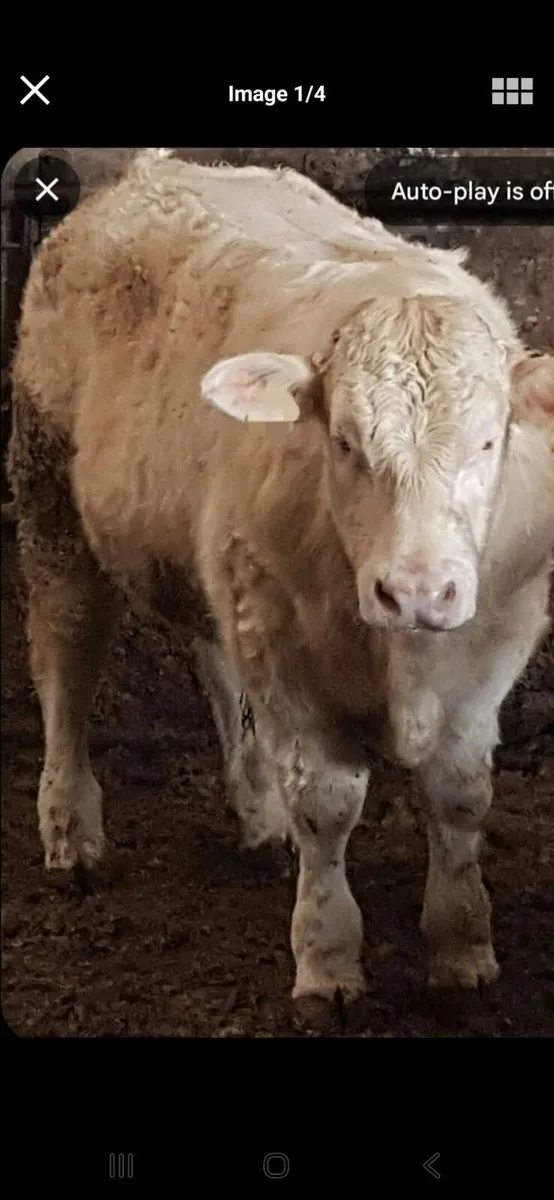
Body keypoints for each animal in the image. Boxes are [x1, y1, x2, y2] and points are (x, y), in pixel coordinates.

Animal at [7, 148, 554, 1009]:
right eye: (346, 441)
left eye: (491, 440)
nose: (418, 593)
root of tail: (148, 173)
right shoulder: (288, 653)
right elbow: (327, 805)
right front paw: (327, 959)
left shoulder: (489, 648)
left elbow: (460, 795)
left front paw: (462, 946)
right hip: (51, 494)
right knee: (67, 658)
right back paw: (71, 831)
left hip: (219, 565)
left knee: (214, 663)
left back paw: (258, 813)